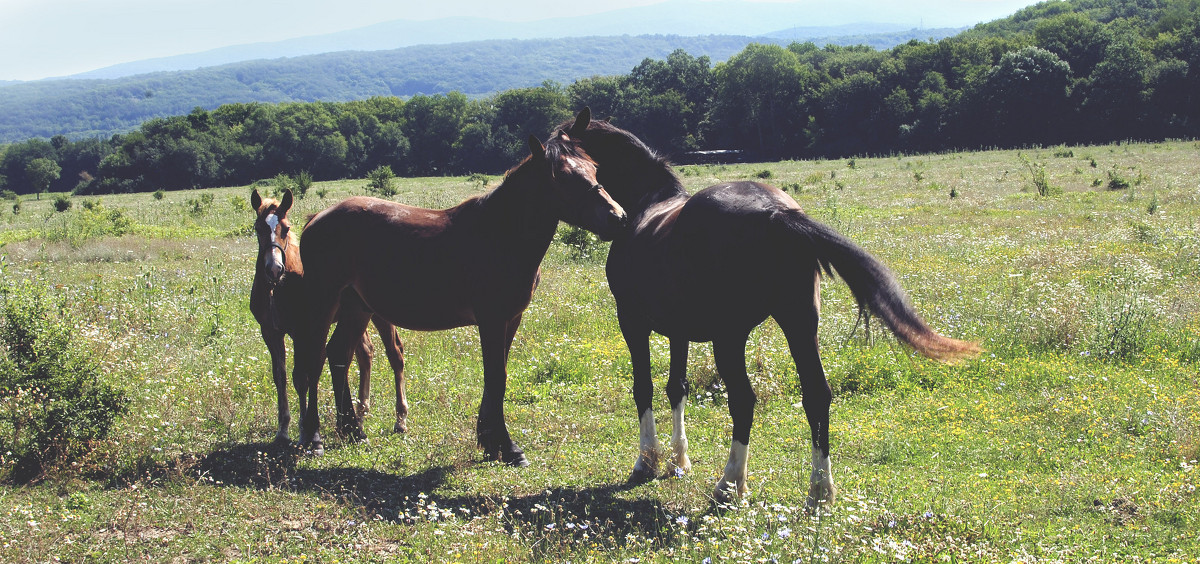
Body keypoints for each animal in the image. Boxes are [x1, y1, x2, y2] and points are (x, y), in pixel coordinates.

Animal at [249, 187, 412, 444]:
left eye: (286, 228)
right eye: (258, 228)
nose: (274, 269)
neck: (277, 289)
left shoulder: (300, 332)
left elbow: (300, 376)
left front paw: (304, 431)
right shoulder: (270, 333)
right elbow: (280, 376)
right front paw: (283, 430)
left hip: (378, 316)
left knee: (394, 354)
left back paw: (400, 420)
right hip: (355, 316)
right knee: (365, 353)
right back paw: (360, 415)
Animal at [291, 136, 628, 463]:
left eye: (594, 168)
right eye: (563, 176)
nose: (618, 217)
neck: (501, 234)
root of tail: (316, 218)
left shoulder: (511, 319)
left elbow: (496, 377)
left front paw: (490, 442)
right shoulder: (492, 319)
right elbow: (496, 377)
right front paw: (508, 447)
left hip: (356, 307)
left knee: (339, 354)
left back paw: (353, 430)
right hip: (325, 301)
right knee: (314, 359)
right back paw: (315, 438)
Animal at [556, 108, 979, 508]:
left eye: (564, 163)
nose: (613, 219)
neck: (649, 203)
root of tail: (778, 213)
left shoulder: (633, 321)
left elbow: (643, 388)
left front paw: (648, 461)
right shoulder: (678, 329)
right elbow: (676, 387)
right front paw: (679, 460)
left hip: (730, 338)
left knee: (744, 401)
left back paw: (730, 485)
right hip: (799, 324)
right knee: (817, 395)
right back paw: (819, 493)